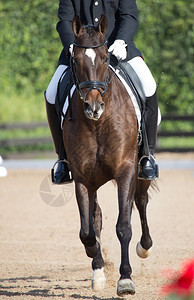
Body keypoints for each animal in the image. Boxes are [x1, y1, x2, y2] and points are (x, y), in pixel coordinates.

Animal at [62, 15, 153, 296]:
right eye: (76, 60)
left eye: (104, 58)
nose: (94, 107)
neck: (97, 124)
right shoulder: (82, 178)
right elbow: (87, 230)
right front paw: (95, 256)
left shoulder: (125, 170)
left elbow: (123, 226)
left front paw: (125, 280)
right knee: (97, 217)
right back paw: (98, 271)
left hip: (140, 172)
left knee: (141, 202)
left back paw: (144, 247)